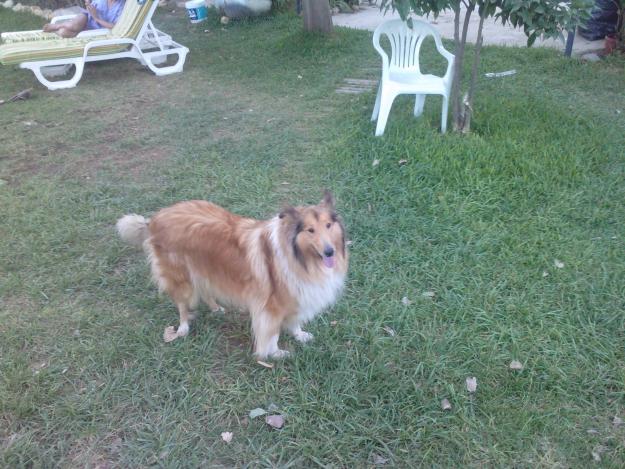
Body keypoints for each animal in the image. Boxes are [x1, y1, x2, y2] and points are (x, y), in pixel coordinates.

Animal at [116, 192, 346, 356]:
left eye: (328, 225)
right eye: (310, 230)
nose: (330, 252)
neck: (300, 257)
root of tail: (154, 219)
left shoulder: (296, 296)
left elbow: (294, 322)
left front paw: (300, 335)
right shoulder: (271, 306)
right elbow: (271, 333)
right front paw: (275, 353)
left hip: (204, 268)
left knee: (205, 289)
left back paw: (216, 308)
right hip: (180, 276)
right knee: (181, 303)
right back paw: (182, 328)